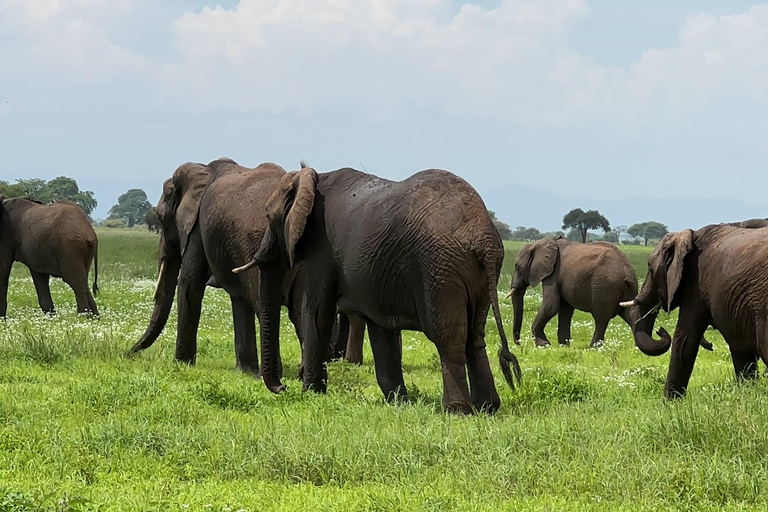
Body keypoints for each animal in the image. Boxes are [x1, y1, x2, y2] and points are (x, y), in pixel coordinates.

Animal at [234, 164, 520, 416]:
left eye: (268, 216)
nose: (282, 387)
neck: (312, 177)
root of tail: (483, 238)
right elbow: (382, 331)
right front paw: (400, 403)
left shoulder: (322, 249)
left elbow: (317, 314)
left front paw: (311, 395)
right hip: (477, 274)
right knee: (475, 336)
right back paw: (487, 408)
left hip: (440, 268)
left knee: (448, 337)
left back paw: (457, 411)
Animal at [616, 225, 768, 400]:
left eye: (650, 268)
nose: (660, 331)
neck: (689, 235)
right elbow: (740, 348)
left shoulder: (695, 284)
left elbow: (684, 339)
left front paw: (669, 403)